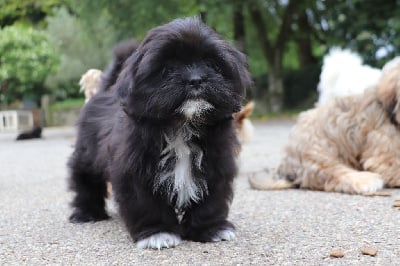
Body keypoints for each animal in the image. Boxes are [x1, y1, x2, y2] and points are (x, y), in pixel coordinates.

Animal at [67, 17, 252, 249]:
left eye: (211, 64)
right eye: (168, 68)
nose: (196, 79)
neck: (182, 125)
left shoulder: (216, 164)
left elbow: (211, 200)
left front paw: (210, 229)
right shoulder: (134, 171)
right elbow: (146, 203)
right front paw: (157, 233)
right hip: (87, 153)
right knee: (85, 178)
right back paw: (87, 212)